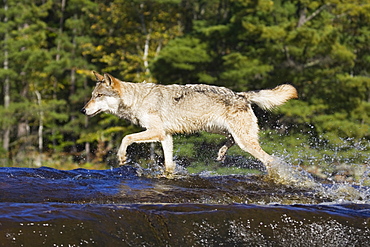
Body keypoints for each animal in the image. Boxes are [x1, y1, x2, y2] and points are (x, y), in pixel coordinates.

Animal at [81, 72, 298, 175]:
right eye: (91, 96)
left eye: (98, 96)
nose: (83, 110)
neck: (138, 99)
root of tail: (241, 94)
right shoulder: (166, 136)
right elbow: (169, 165)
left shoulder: (156, 131)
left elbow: (126, 137)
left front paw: (121, 157)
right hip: (221, 130)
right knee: (231, 140)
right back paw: (221, 152)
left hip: (244, 141)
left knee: (269, 160)